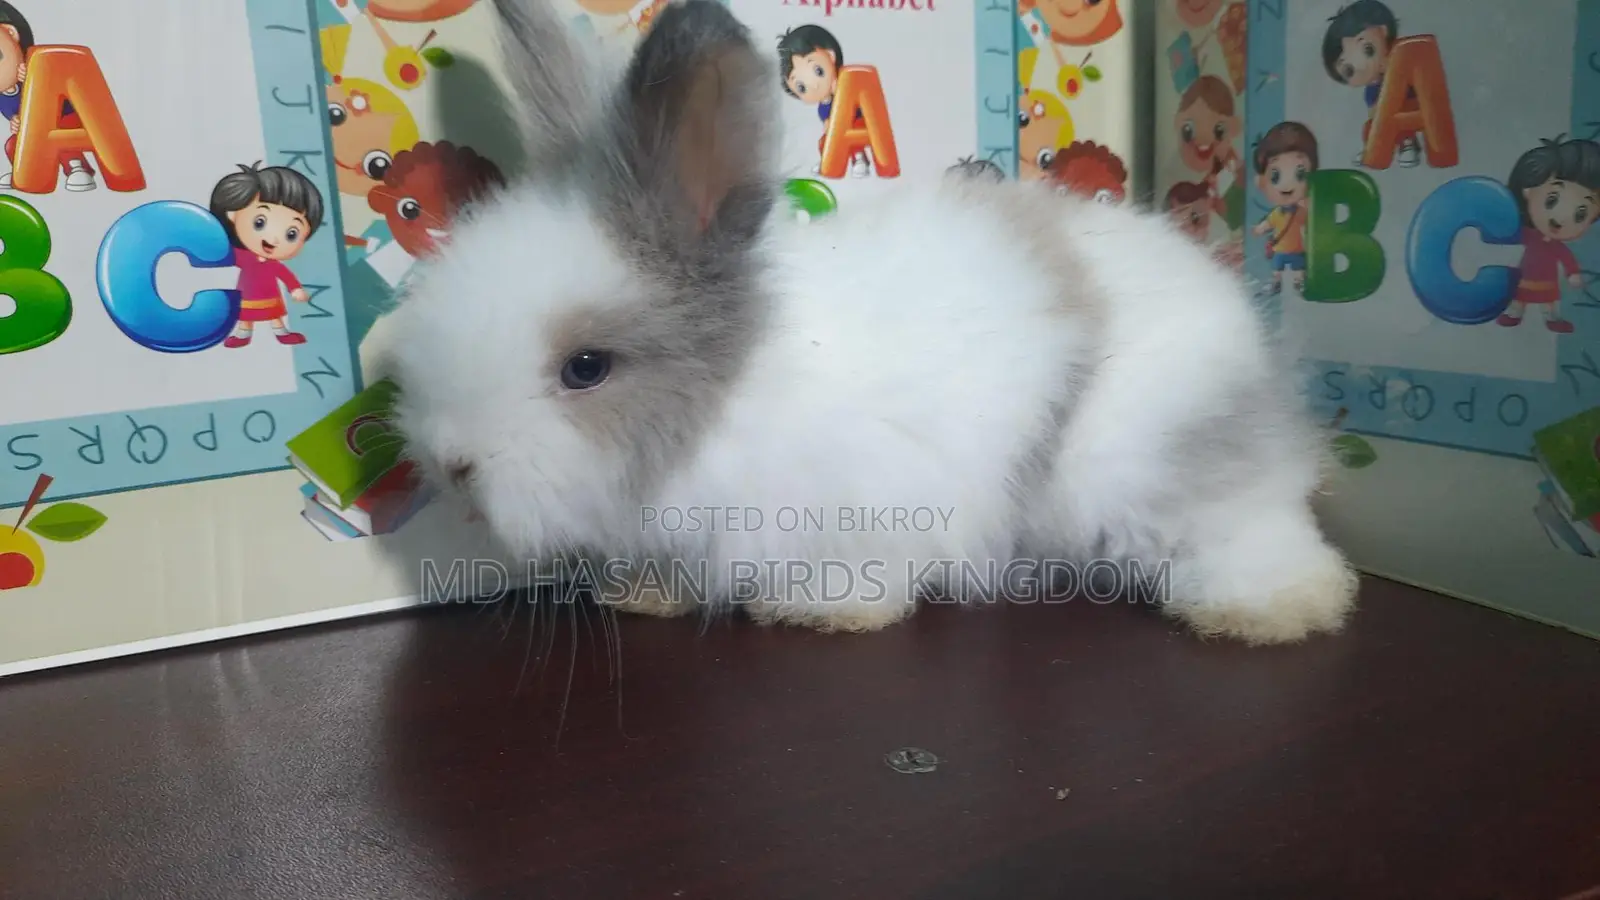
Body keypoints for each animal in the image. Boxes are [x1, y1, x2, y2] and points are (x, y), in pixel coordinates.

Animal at [370, 0, 1359, 645]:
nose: (450, 465)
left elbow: (865, 573)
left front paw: (821, 612)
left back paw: (1269, 613)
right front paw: (642, 597)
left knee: (1256, 532)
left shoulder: (868, 505)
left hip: (1155, 465)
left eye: (584, 367)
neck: (732, 397)